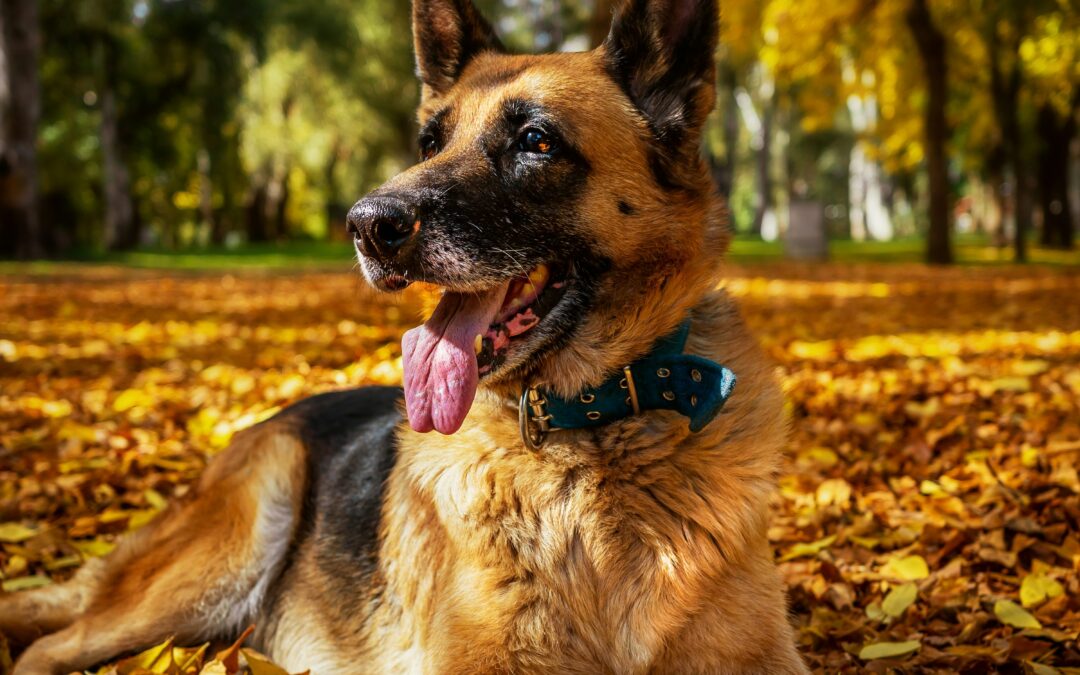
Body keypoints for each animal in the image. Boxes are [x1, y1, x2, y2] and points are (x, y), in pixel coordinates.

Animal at [2, 2, 812, 669]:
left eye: (536, 141)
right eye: (429, 140)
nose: (365, 225)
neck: (592, 439)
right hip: (219, 554)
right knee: (47, 647)